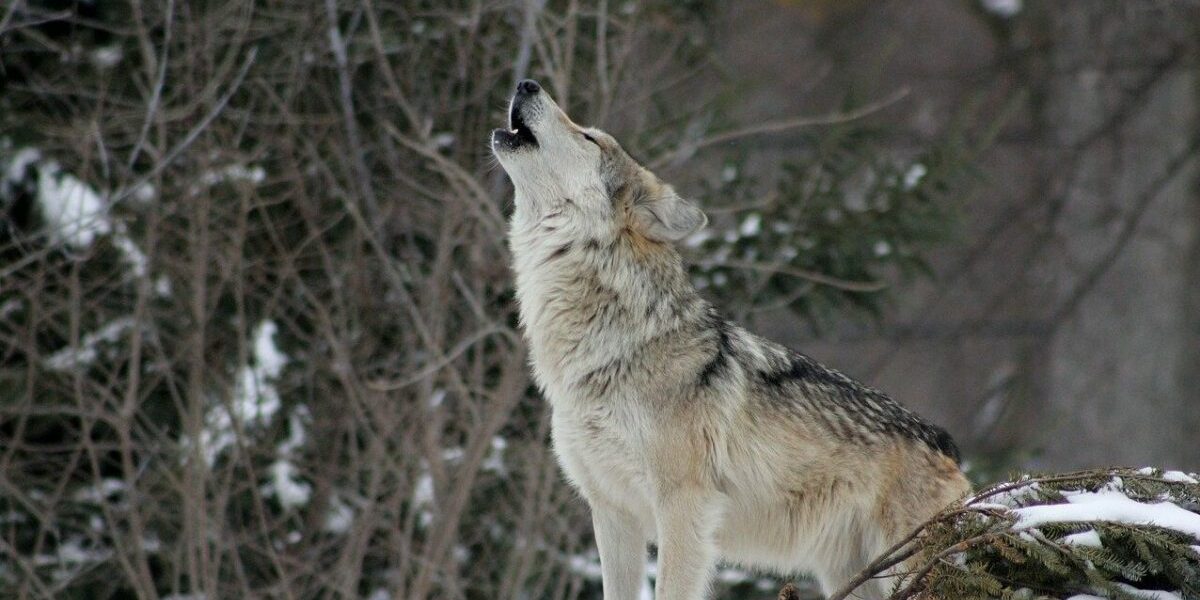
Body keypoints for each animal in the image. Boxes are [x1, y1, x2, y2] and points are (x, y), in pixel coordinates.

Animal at [492, 79, 970, 600]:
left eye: (589, 137)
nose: (526, 83)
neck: (611, 345)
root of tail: (949, 446)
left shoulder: (683, 506)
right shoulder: (613, 513)